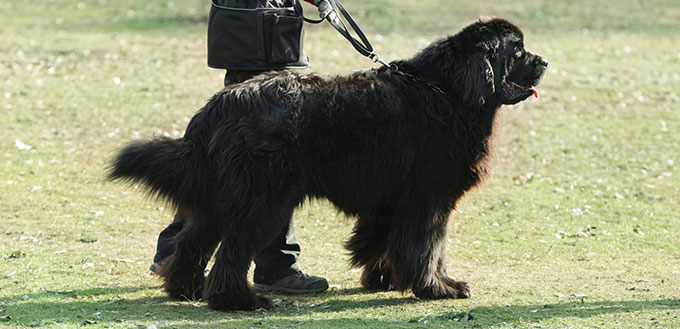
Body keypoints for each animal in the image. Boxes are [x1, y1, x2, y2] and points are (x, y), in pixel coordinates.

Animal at [110, 18, 548, 310]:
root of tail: (223, 103)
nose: (544, 61)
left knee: (193, 240)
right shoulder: (429, 198)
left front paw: (382, 279)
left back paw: (185, 289)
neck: (450, 89)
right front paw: (439, 287)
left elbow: (384, 241)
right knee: (233, 249)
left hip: (222, 195)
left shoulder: (393, 199)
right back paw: (237, 301)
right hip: (264, 198)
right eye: (517, 50)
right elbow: (428, 247)